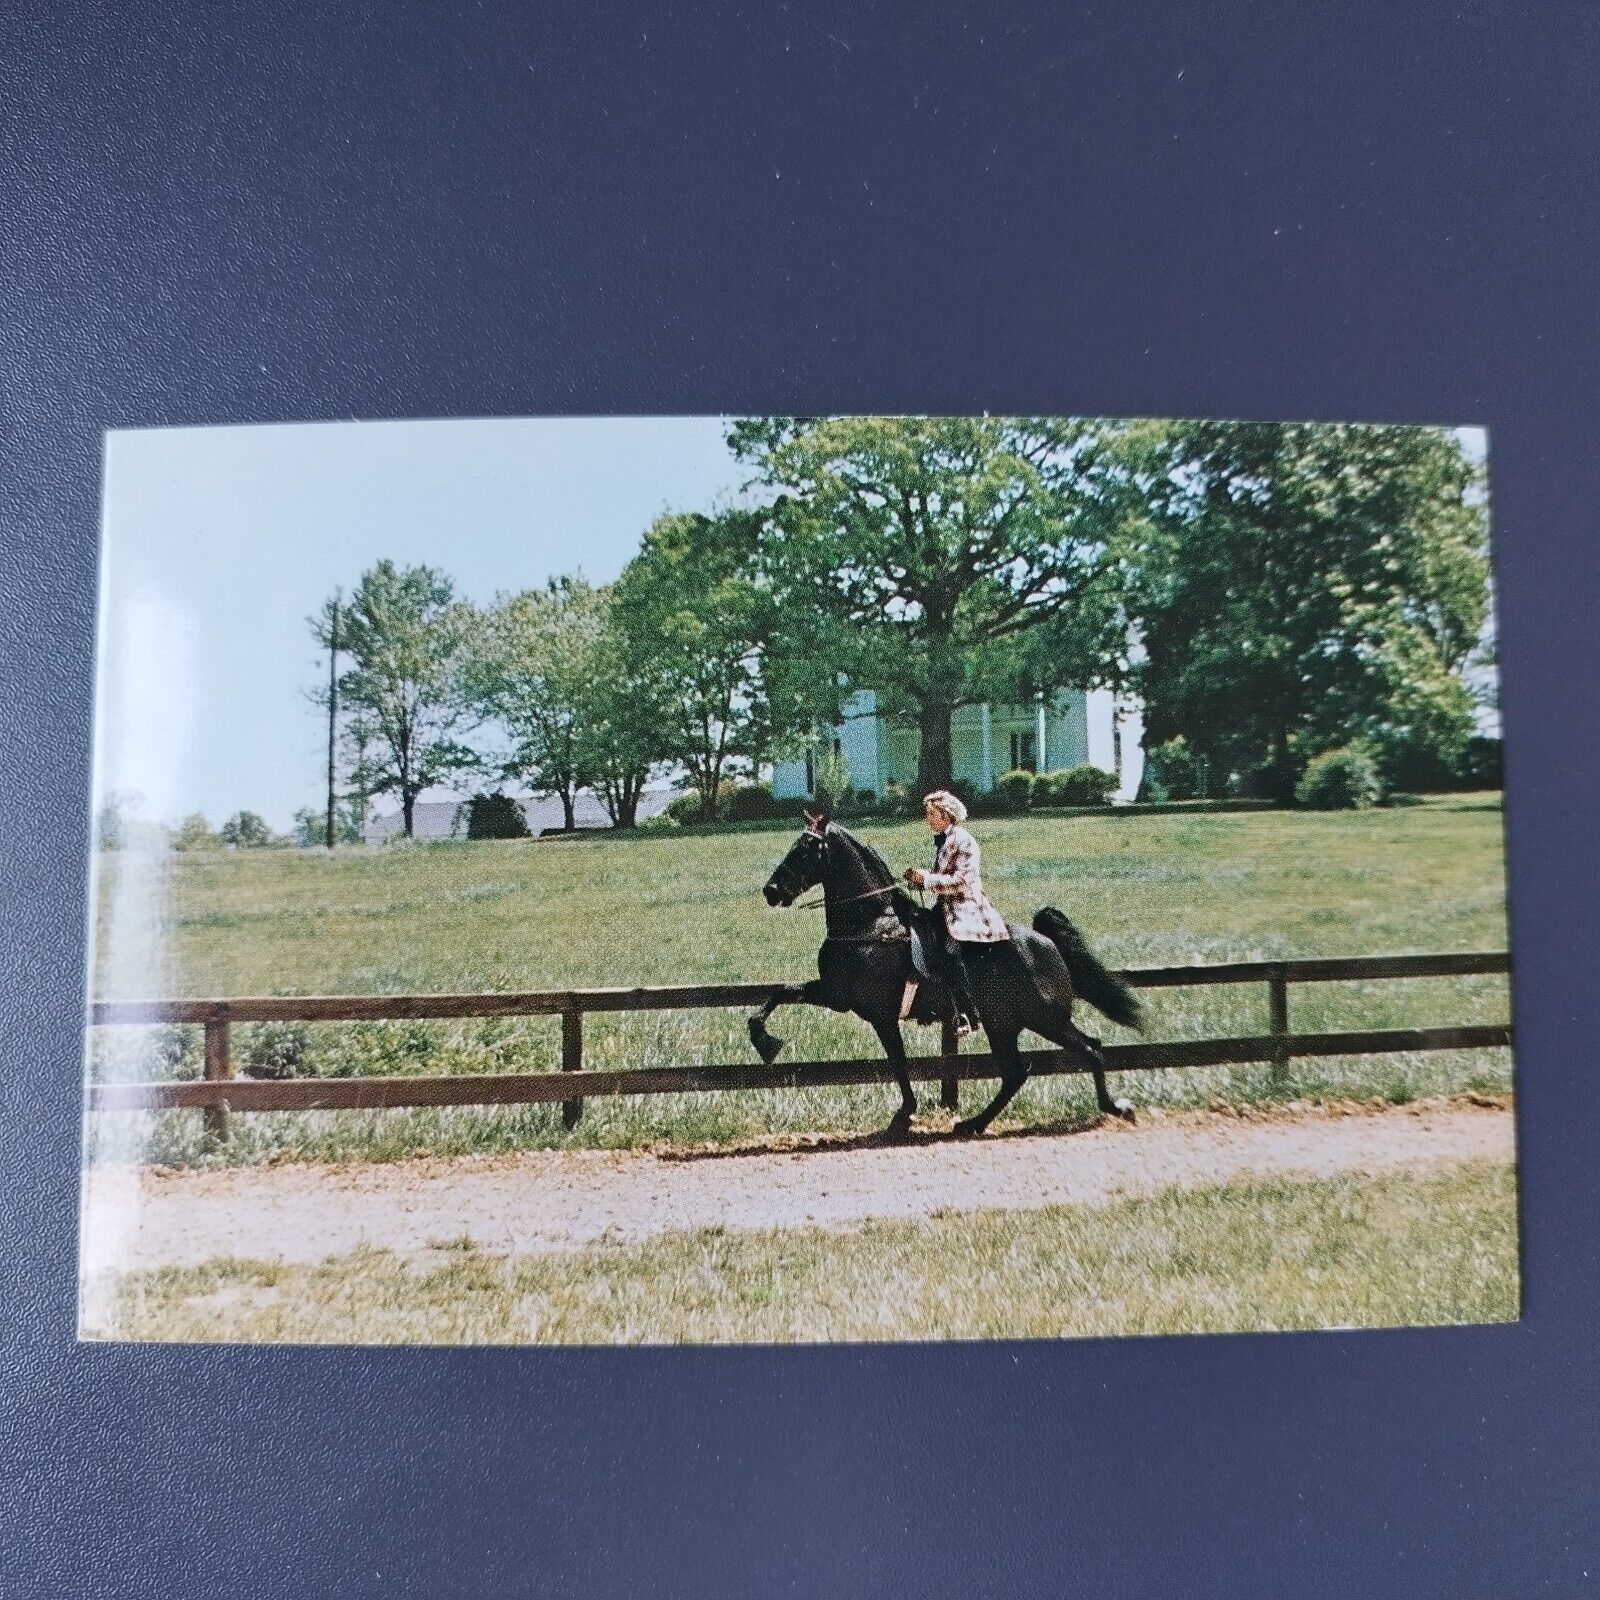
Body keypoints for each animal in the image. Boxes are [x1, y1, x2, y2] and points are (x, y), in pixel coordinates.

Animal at [748, 812, 1139, 1139]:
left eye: (805, 849)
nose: (771, 891)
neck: (871, 925)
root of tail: (1045, 942)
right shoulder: (837, 995)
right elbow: (781, 992)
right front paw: (765, 1042)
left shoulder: (869, 1010)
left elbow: (898, 1062)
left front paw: (903, 1116)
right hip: (1004, 1024)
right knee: (1017, 1072)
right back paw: (973, 1124)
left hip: (1045, 1019)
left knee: (1089, 1050)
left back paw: (1116, 1107)